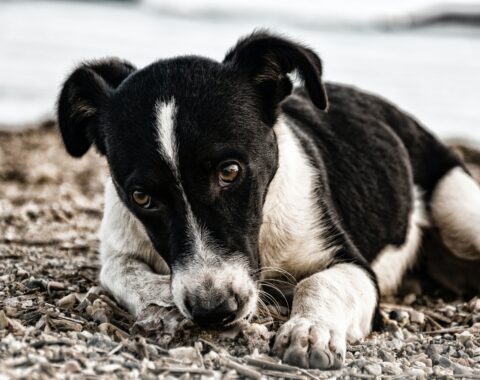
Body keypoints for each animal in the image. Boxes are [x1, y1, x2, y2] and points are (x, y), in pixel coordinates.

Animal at [56, 31, 480, 370]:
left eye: (230, 172)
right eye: (141, 197)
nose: (214, 311)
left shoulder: (353, 266)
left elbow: (319, 284)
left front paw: (310, 331)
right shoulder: (118, 247)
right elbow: (125, 273)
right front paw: (163, 303)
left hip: (458, 211)